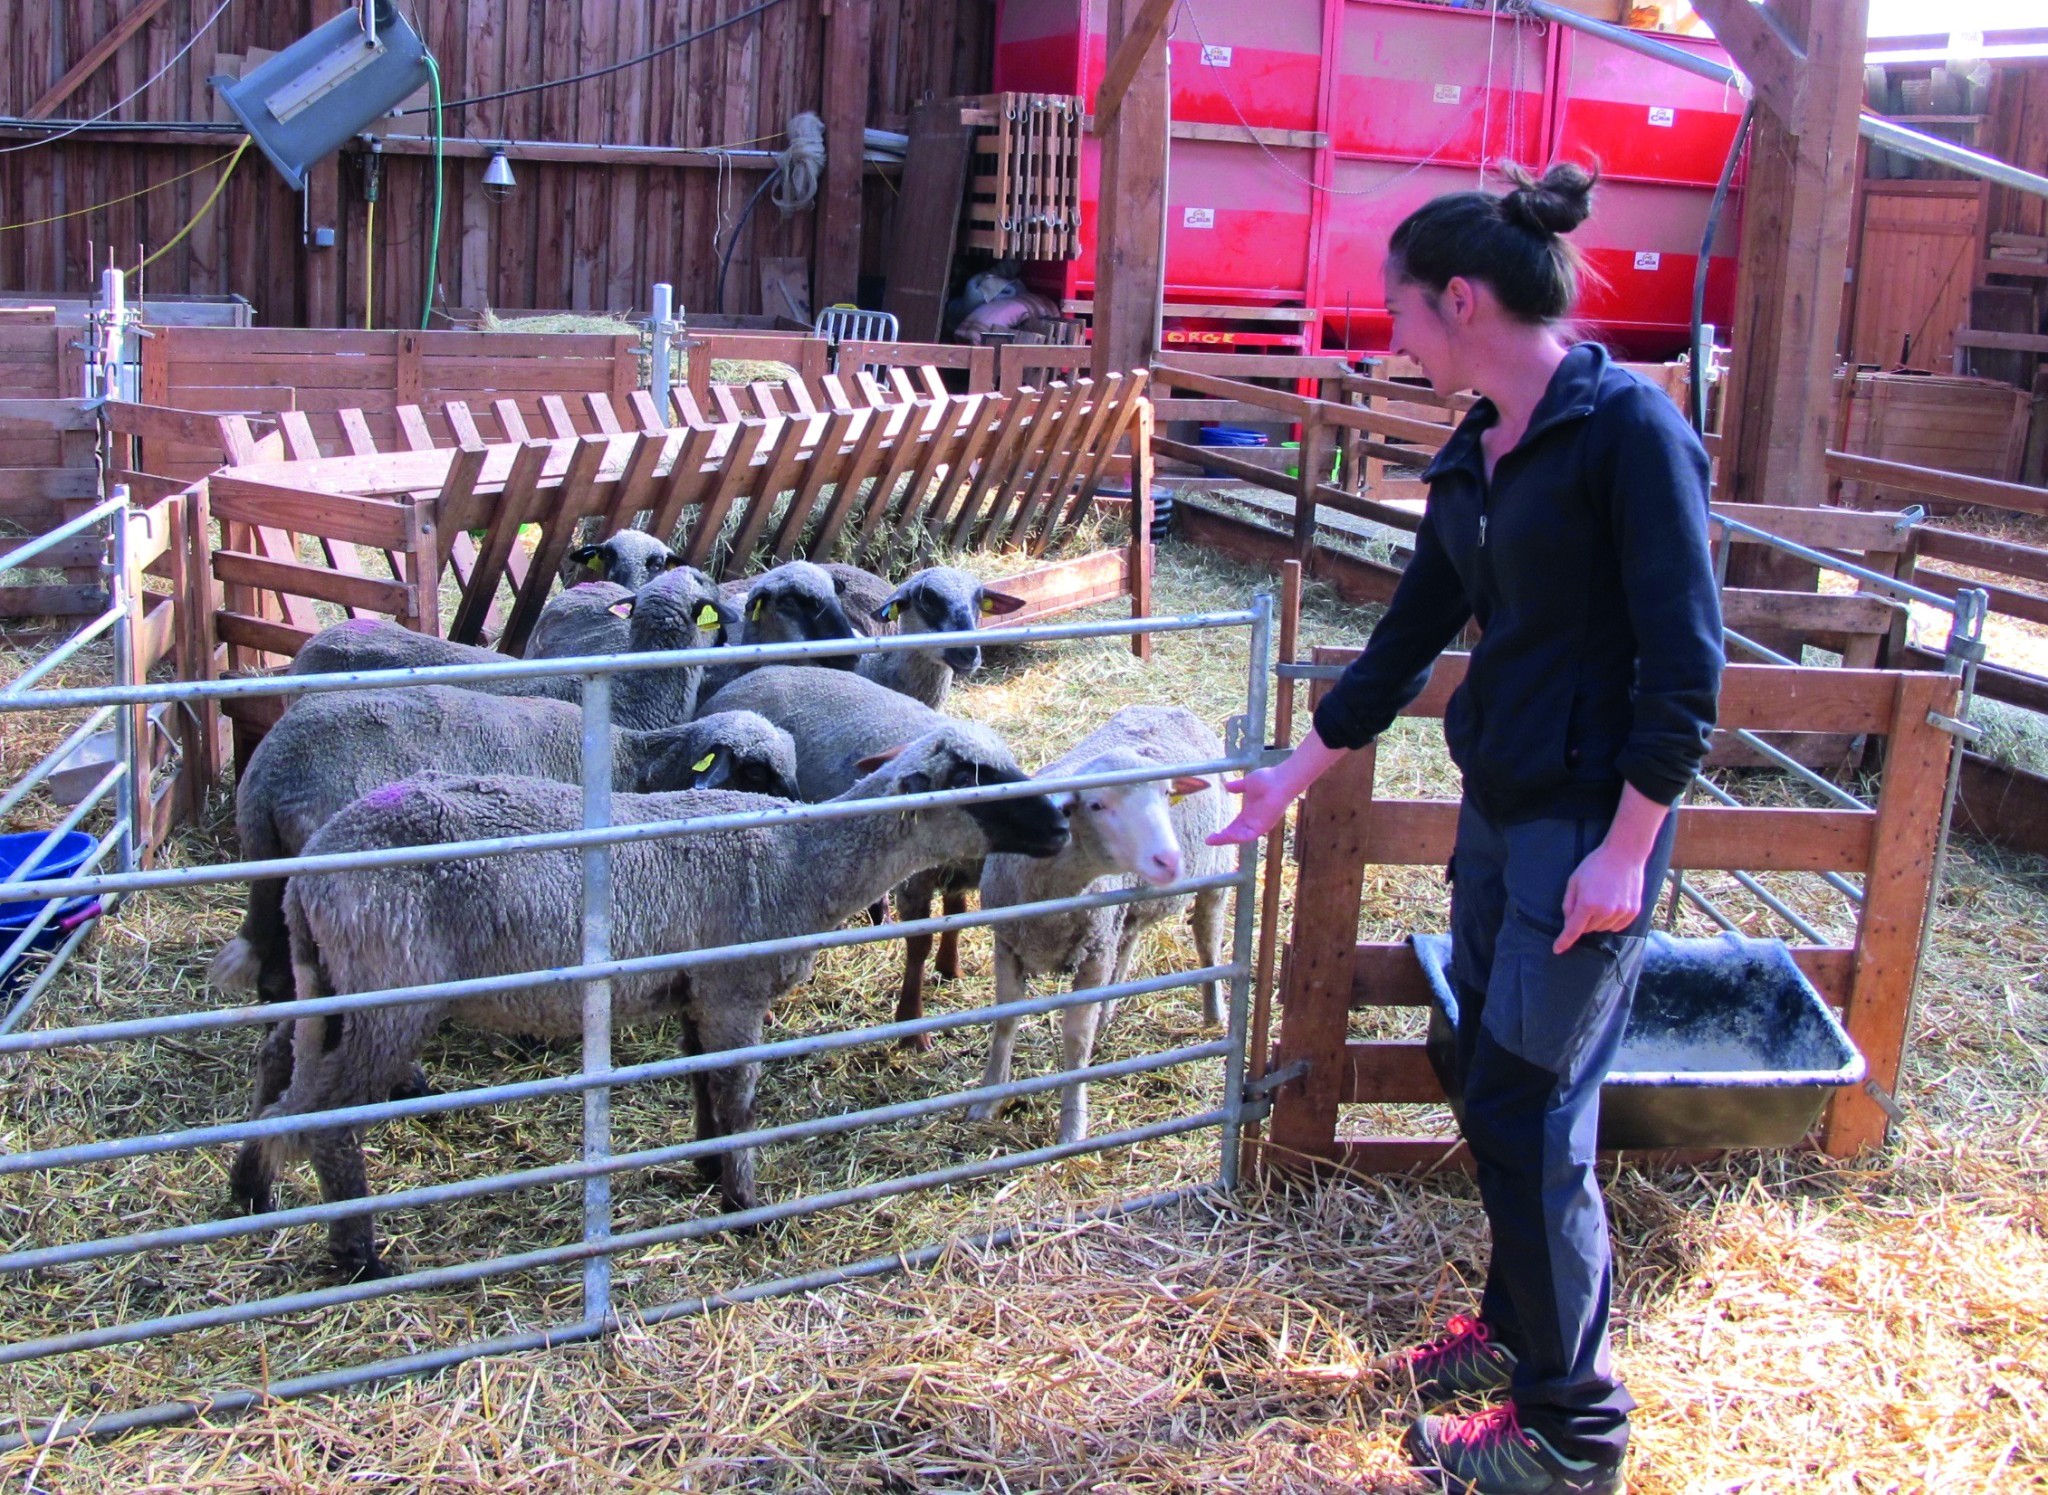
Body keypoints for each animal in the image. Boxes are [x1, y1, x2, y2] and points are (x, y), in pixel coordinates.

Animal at [234, 716, 1073, 1277]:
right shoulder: (734, 991)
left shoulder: (696, 991)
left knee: (277, 1060)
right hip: (392, 988)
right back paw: (357, 1251)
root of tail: (309, 877)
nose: (1063, 822)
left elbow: (702, 1081)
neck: (802, 860)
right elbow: (739, 1094)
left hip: (328, 982)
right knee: (330, 1112)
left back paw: (250, 1188)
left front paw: (704, 1168)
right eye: (977, 779)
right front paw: (743, 1205)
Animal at [962, 704, 1220, 1146]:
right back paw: (1108, 1012)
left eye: (1166, 794)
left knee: (1208, 939)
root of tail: (1169, 706)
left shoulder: (1093, 954)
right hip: (1126, 909)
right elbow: (1005, 1020)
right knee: (1129, 943)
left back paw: (1214, 1013)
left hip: (1216, 874)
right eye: (1097, 805)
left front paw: (1072, 1125)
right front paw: (988, 1098)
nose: (1169, 860)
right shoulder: (1008, 944)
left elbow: (1076, 1039)